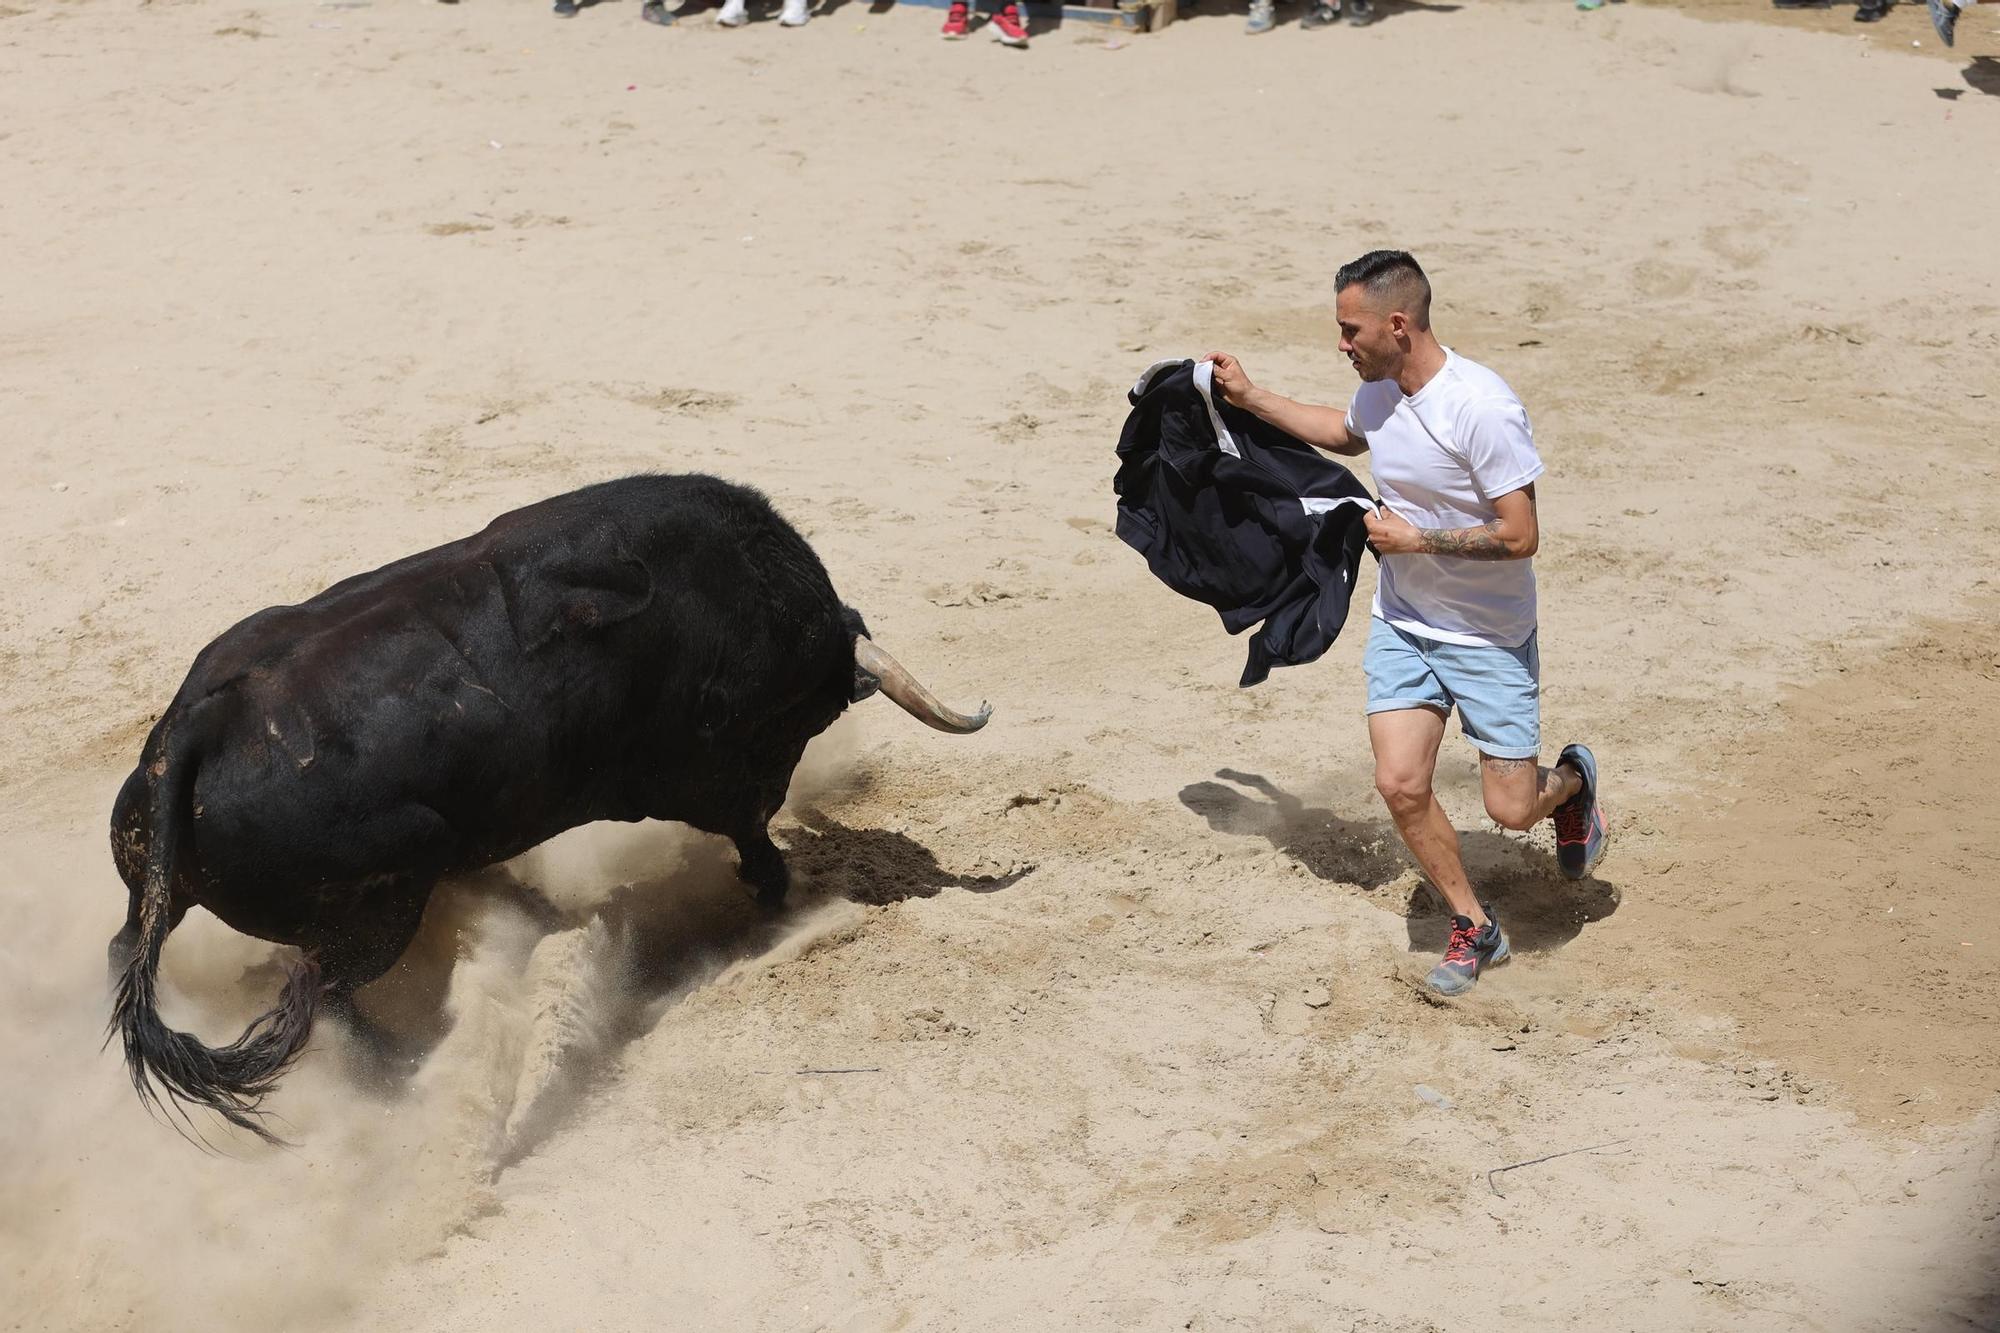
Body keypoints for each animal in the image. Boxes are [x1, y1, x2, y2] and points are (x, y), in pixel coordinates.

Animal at [101, 472, 992, 1136]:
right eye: (803, 719)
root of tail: (194, 725)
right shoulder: (718, 777)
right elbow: (754, 835)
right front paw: (780, 900)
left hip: (176, 893)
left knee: (151, 953)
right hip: (383, 908)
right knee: (321, 992)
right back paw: (402, 1067)